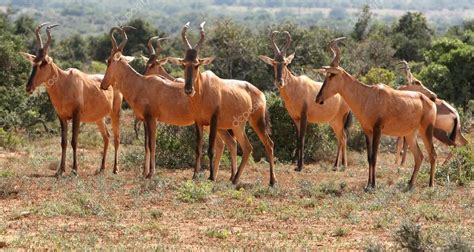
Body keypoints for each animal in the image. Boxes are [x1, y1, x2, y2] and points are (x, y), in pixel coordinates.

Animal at [21, 23, 123, 176]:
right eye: (33, 62)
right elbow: (63, 142)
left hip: (115, 113)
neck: (65, 80)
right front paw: (60, 170)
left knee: (116, 137)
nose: (28, 87)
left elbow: (74, 140)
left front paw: (74, 169)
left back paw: (115, 169)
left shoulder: (76, 115)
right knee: (107, 137)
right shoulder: (62, 117)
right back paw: (101, 168)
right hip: (99, 118)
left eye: (43, 63)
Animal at [102, 27, 239, 179]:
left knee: (229, 143)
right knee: (227, 143)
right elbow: (147, 145)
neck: (142, 84)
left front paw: (151, 173)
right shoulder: (146, 120)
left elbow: (152, 145)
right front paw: (145, 172)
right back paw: (224, 176)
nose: (103, 85)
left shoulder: (151, 119)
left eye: (109, 60)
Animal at [168, 22, 276, 186]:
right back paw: (235, 178)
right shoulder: (198, 122)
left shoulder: (214, 120)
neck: (204, 90)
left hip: (257, 121)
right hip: (237, 126)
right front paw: (195, 176)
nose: (188, 89)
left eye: (197, 64)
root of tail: (260, 93)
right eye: (183, 64)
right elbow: (198, 148)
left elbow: (211, 149)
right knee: (245, 147)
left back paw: (271, 181)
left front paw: (211, 177)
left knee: (268, 144)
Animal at [258, 30, 354, 170]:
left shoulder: (304, 116)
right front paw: (296, 165)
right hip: (333, 121)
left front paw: (300, 166)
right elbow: (297, 139)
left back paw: (341, 166)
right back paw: (337, 165)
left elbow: (302, 138)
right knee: (341, 138)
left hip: (341, 119)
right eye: (274, 63)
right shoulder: (295, 118)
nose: (279, 82)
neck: (296, 86)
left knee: (343, 137)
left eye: (285, 63)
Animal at [314, 38, 436, 189]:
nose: (318, 98)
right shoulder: (367, 131)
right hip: (410, 134)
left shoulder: (378, 130)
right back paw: (410, 184)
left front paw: (373, 184)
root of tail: (431, 102)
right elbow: (369, 157)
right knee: (419, 156)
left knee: (432, 154)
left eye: (332, 74)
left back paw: (431, 185)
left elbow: (375, 157)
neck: (368, 95)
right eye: (326, 75)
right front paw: (368, 184)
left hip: (426, 130)